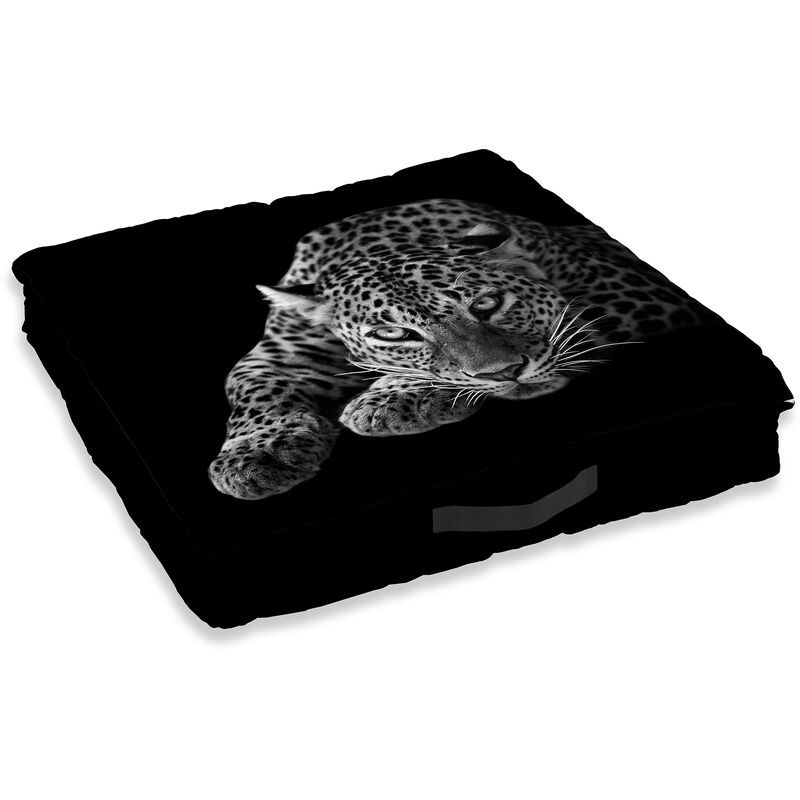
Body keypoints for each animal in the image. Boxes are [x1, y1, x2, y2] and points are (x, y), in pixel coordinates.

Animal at [208, 198, 704, 500]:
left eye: (486, 304)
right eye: (395, 335)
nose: (504, 373)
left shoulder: (635, 296)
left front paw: (390, 400)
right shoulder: (276, 354)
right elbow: (251, 391)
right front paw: (256, 457)